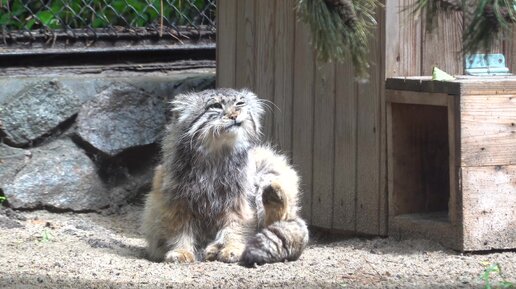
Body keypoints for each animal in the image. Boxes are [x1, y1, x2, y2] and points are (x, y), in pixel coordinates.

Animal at [141, 88, 308, 266]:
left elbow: (235, 227)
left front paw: (231, 248)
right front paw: (181, 251)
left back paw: (274, 197)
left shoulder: (237, 202)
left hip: (269, 167)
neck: (216, 155)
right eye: (215, 106)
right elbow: (179, 230)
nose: (234, 115)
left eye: (239, 104)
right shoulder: (177, 202)